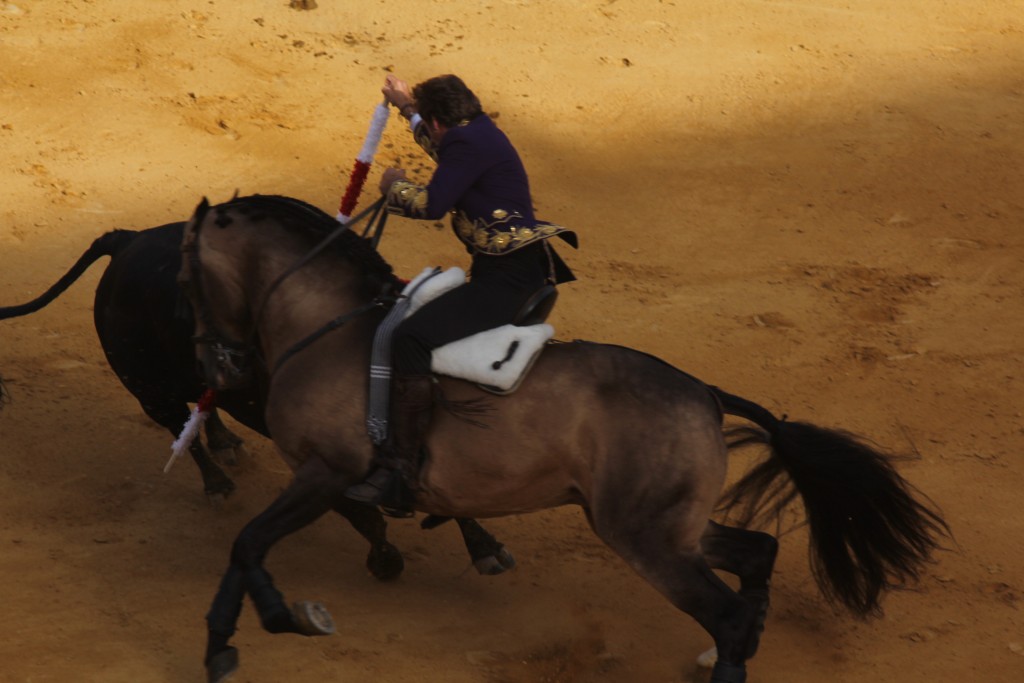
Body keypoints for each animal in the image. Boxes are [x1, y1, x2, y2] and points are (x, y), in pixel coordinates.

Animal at [0, 223, 512, 577]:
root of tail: (128, 240)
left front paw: (487, 549)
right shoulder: (314, 461)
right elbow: (363, 517)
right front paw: (386, 561)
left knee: (202, 407)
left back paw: (227, 443)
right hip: (144, 385)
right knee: (177, 426)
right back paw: (218, 483)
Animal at [180, 193, 946, 683]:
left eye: (186, 268)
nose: (216, 364)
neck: (328, 323)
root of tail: (704, 392)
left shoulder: (325, 470)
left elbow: (249, 541)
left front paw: (262, 625)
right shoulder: (330, 477)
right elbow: (272, 540)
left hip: (643, 535)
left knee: (726, 613)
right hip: (667, 524)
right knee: (755, 554)